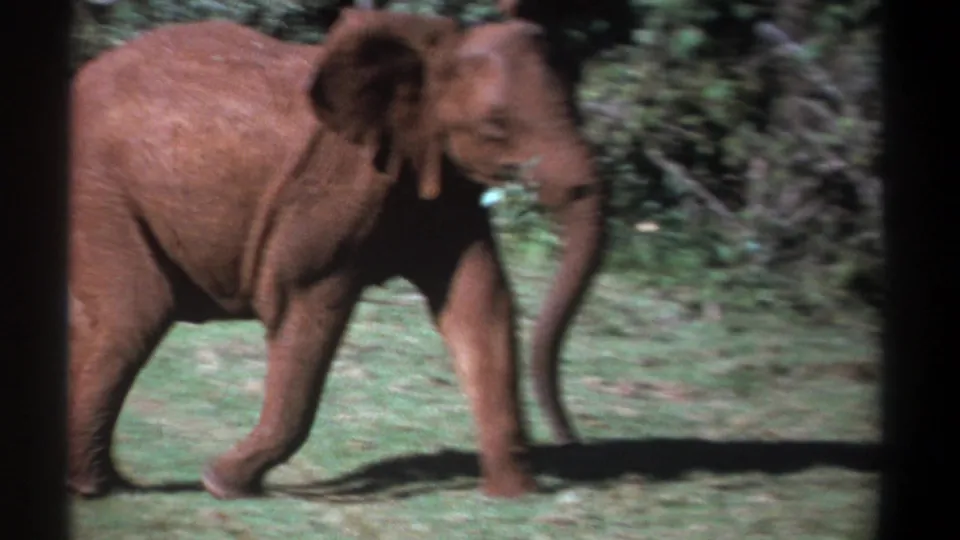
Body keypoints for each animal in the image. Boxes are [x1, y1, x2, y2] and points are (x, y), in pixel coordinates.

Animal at [67, 8, 606, 501]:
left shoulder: (440, 178)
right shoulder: (334, 189)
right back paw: (93, 488)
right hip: (99, 189)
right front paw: (221, 483)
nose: (571, 440)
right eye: (496, 125)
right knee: (134, 311)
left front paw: (514, 495)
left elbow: (479, 303)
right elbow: (303, 299)